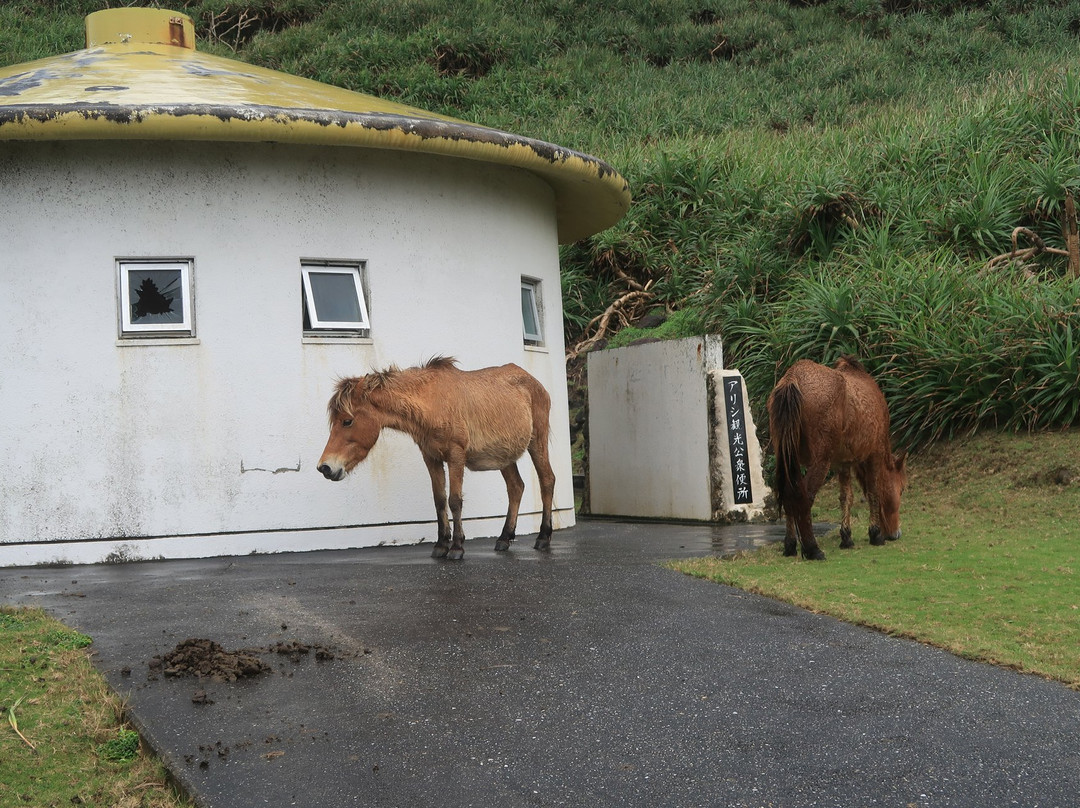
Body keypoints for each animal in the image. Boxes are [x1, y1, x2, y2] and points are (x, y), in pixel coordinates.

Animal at [315, 356, 557, 557]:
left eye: (347, 421)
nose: (325, 467)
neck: (433, 404)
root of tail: (535, 383)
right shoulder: (431, 457)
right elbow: (439, 500)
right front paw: (441, 544)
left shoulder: (456, 456)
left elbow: (455, 501)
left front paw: (457, 547)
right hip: (505, 456)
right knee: (516, 487)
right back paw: (504, 538)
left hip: (537, 442)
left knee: (547, 480)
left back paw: (543, 537)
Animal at [764, 356, 907, 557]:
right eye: (901, 490)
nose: (895, 533)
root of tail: (793, 377)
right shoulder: (874, 455)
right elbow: (874, 492)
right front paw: (875, 534)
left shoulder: (843, 463)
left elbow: (846, 497)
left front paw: (846, 537)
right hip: (820, 461)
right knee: (804, 497)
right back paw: (812, 549)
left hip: (788, 460)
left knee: (789, 494)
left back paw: (790, 545)